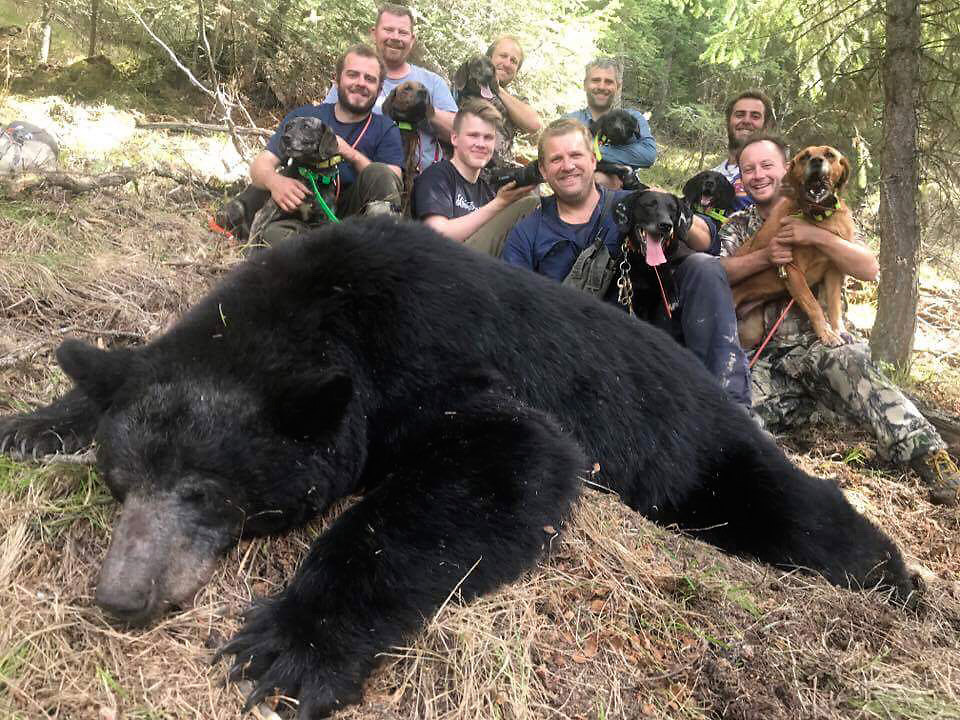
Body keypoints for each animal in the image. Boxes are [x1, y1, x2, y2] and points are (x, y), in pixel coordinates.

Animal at [0, 217, 916, 716]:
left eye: (207, 492)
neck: (334, 314)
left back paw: (898, 577)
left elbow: (505, 460)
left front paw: (290, 644)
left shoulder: (431, 352)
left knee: (789, 508)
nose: (122, 595)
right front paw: (30, 423)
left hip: (699, 446)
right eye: (121, 484)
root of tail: (710, 373)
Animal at [736, 145, 856, 348]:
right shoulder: (792, 270)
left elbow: (834, 306)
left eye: (829, 154)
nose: (816, 161)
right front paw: (827, 334)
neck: (818, 218)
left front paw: (839, 330)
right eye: (804, 157)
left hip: (751, 331)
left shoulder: (833, 272)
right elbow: (814, 306)